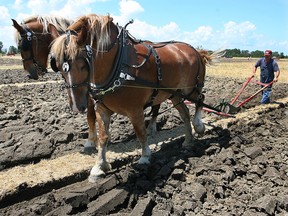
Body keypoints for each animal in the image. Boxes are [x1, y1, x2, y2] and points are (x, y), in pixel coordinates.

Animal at [49, 13, 223, 182]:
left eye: (82, 65)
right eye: (58, 67)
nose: (76, 107)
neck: (118, 64)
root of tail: (197, 52)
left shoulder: (135, 109)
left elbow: (140, 132)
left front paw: (145, 157)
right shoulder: (101, 109)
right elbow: (103, 137)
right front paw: (99, 166)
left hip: (191, 89)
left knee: (200, 99)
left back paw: (198, 126)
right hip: (175, 94)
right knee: (185, 113)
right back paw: (187, 141)